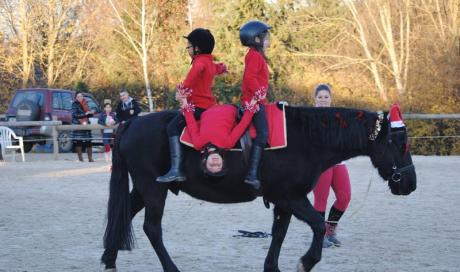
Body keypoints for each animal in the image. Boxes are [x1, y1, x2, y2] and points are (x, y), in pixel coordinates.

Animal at [100, 104, 416, 272]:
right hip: (154, 190)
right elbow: (317, 224)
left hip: (144, 189)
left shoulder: (283, 201)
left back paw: (109, 260)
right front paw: (307, 261)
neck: (305, 139)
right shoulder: (292, 197)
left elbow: (279, 234)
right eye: (398, 143)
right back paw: (170, 268)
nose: (410, 183)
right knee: (151, 229)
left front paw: (272, 267)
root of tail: (130, 123)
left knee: (122, 217)